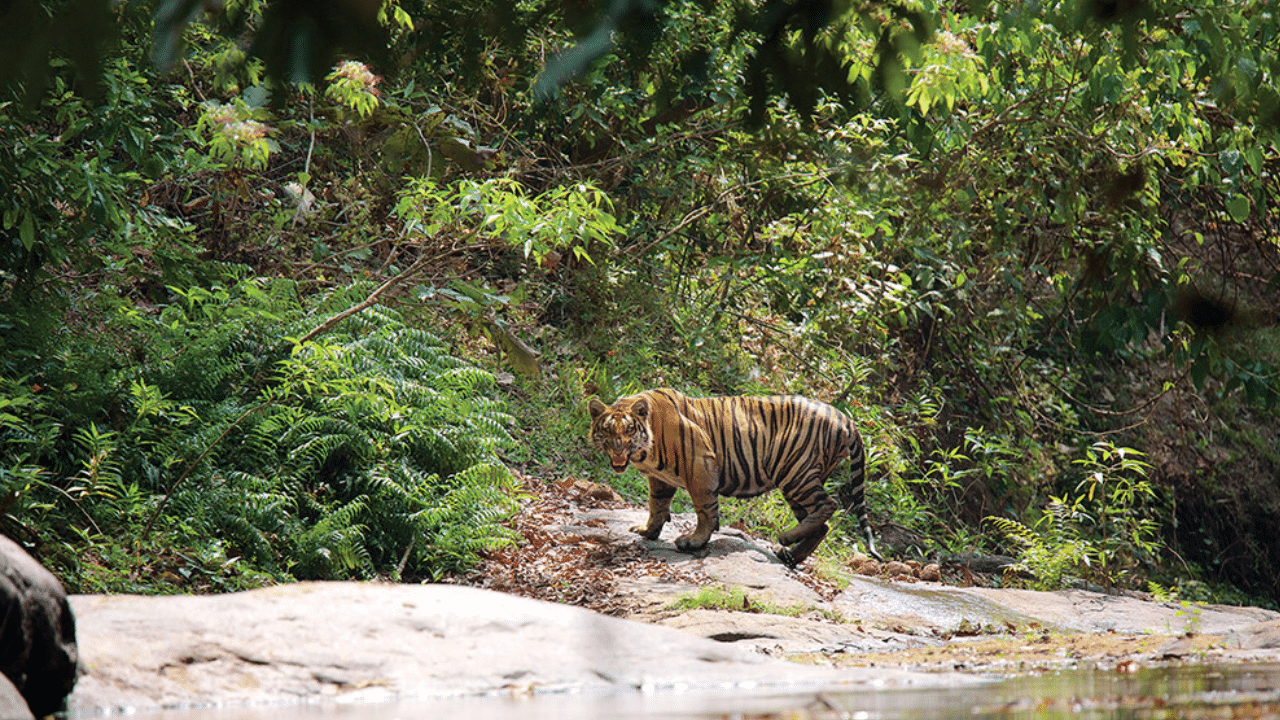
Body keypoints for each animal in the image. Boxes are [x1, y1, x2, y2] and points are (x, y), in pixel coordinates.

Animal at [591, 386, 880, 566]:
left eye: (629, 430)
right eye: (607, 430)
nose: (618, 448)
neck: (645, 452)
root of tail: (846, 418)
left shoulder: (700, 463)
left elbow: (705, 509)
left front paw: (694, 541)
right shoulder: (660, 479)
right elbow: (657, 505)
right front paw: (647, 531)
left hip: (795, 472)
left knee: (829, 504)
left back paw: (785, 539)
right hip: (798, 480)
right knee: (822, 525)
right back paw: (790, 555)